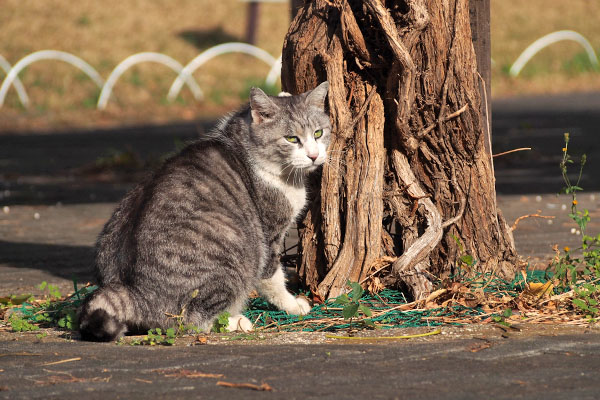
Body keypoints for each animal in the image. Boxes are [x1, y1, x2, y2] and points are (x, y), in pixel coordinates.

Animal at [77, 80, 330, 340]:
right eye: (291, 138)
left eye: (318, 133)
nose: (314, 155)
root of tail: (134, 293)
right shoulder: (270, 234)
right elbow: (273, 278)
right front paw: (293, 305)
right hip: (230, 255)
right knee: (191, 321)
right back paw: (236, 321)